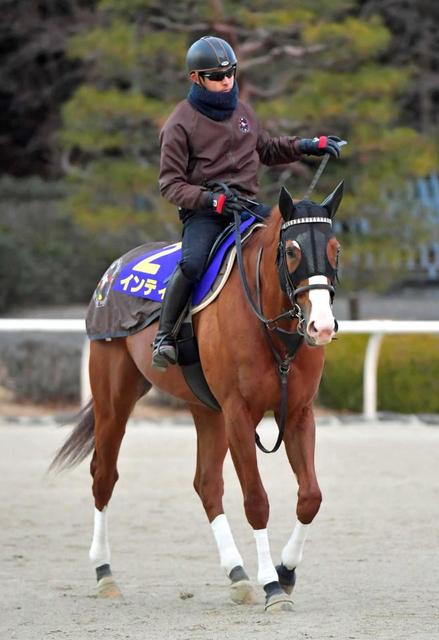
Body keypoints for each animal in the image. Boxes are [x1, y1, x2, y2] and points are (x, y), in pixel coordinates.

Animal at [50, 180, 344, 616]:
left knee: (207, 484)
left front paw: (286, 572)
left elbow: (310, 497)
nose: (321, 326)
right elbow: (256, 501)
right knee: (103, 475)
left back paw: (237, 574)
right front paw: (272, 585)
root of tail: (115, 270)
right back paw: (104, 573)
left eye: (335, 248)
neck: (270, 327)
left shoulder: (298, 413)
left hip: (206, 410)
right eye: (291, 251)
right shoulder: (238, 414)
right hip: (114, 400)